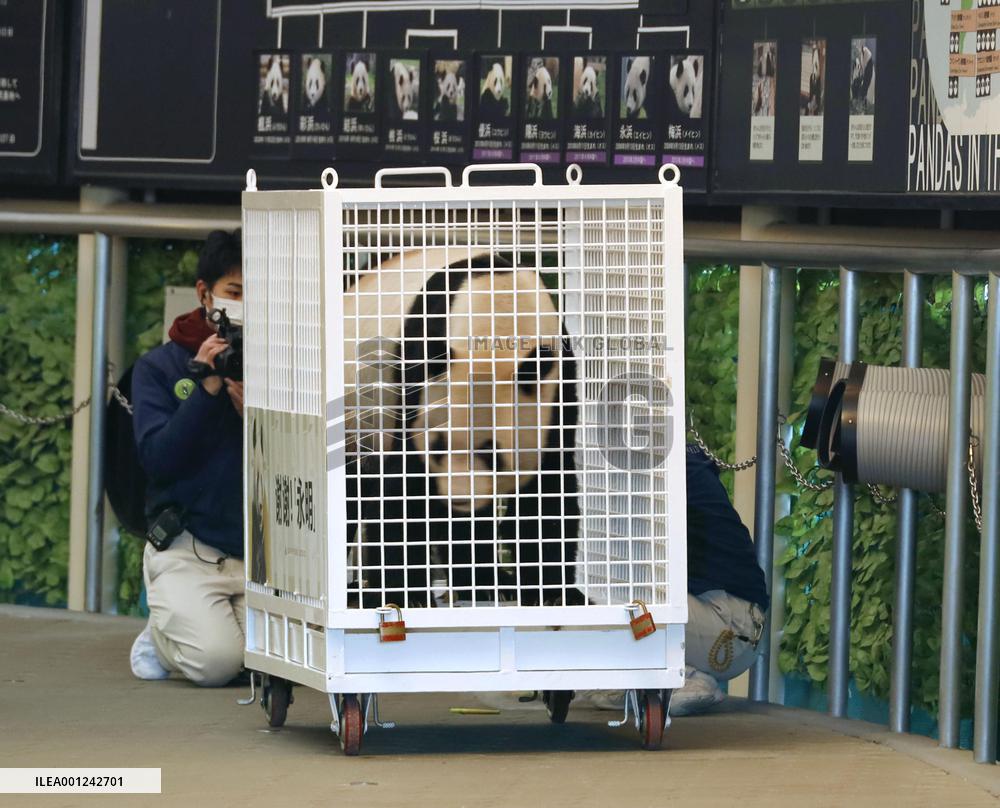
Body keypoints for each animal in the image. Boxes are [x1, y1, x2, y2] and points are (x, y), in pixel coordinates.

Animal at [343, 249, 582, 609]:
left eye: (492, 455)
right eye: (438, 446)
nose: (458, 496)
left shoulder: (556, 384)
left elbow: (548, 489)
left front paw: (554, 593)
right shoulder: (417, 371)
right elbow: (404, 485)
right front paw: (407, 596)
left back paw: (489, 583)